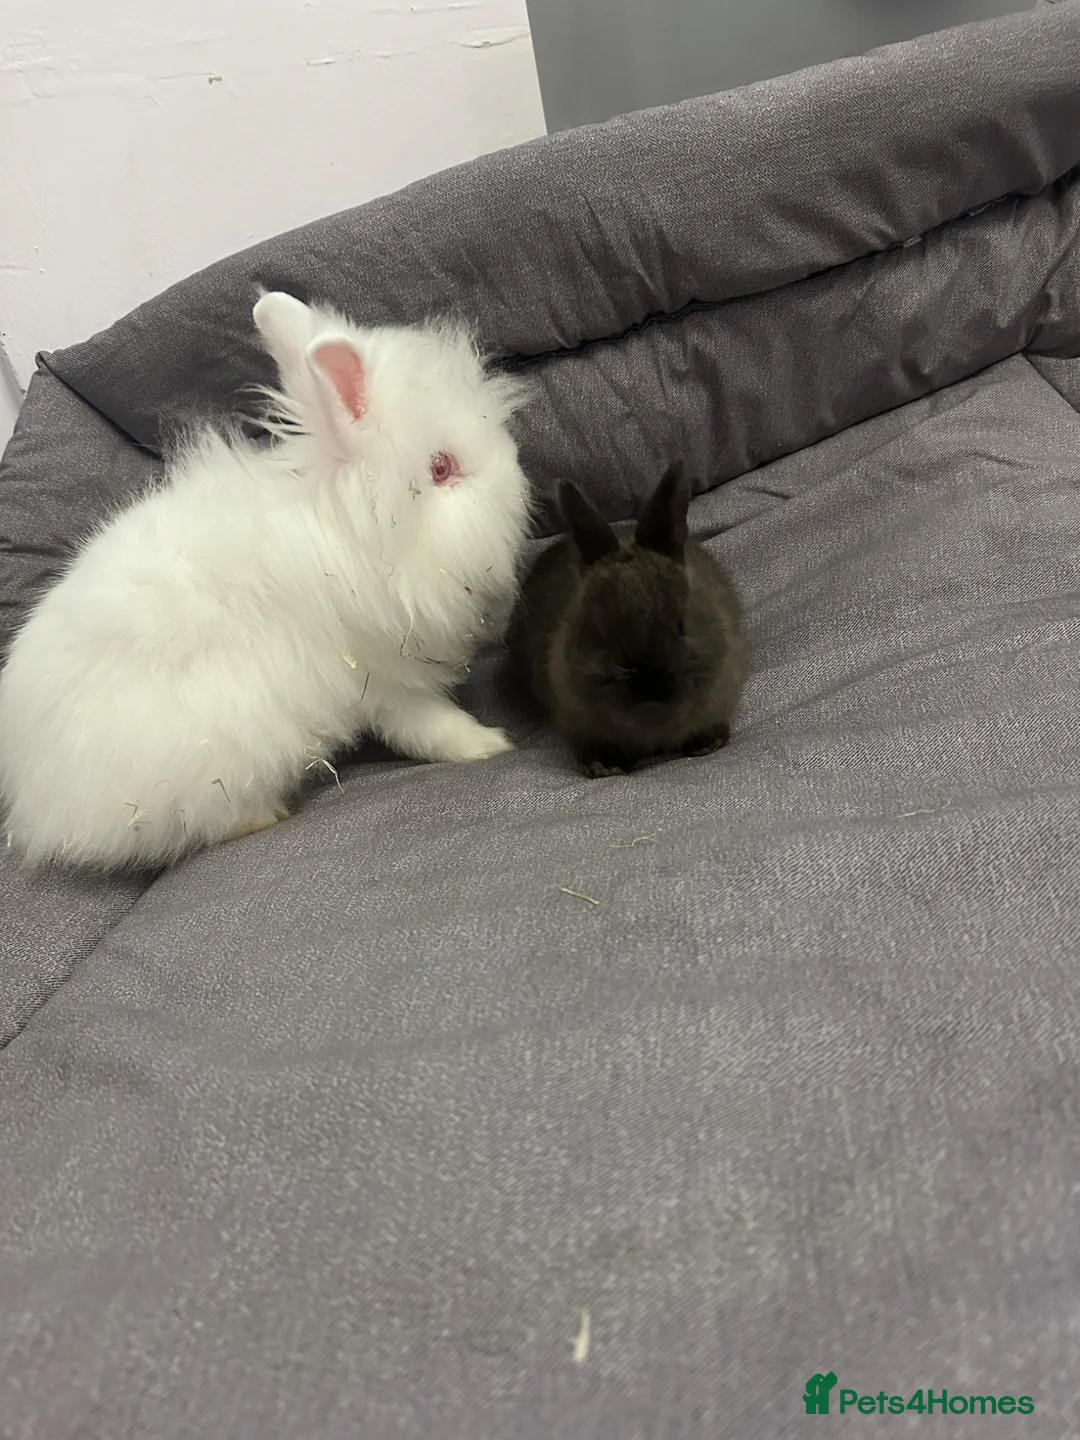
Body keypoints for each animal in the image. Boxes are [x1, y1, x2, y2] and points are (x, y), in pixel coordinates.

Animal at [0, 290, 531, 870]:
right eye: (441, 468)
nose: (517, 479)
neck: (346, 532)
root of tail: (32, 800)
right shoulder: (381, 680)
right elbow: (426, 725)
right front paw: (488, 744)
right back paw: (266, 816)